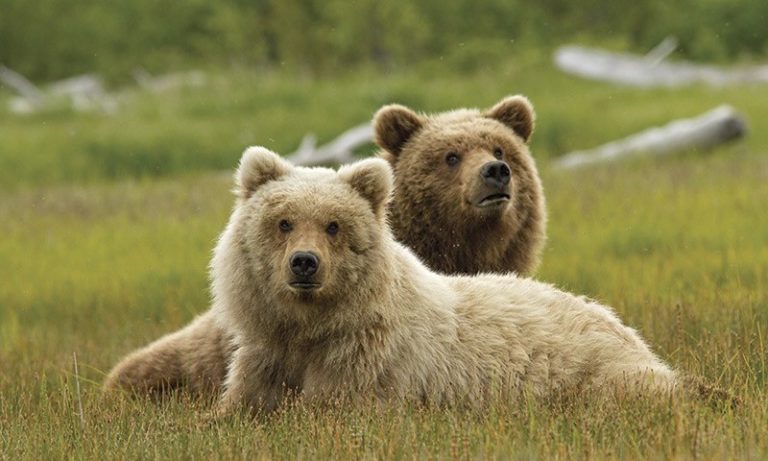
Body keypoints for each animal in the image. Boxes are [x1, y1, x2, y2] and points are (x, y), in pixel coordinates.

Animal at [210, 147, 677, 414]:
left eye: (333, 225)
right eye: (284, 222)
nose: (305, 263)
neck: (310, 327)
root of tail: (631, 332)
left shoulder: (363, 363)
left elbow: (332, 408)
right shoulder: (266, 355)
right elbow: (239, 405)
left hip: (599, 371)